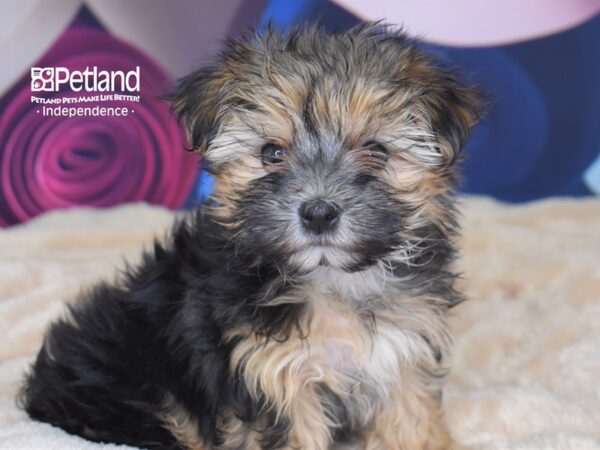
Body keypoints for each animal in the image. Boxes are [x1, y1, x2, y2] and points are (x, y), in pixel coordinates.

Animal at [19, 24, 482, 450]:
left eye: (376, 151)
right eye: (271, 153)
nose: (318, 213)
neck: (332, 281)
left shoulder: (400, 355)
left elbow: (411, 423)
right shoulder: (273, 375)